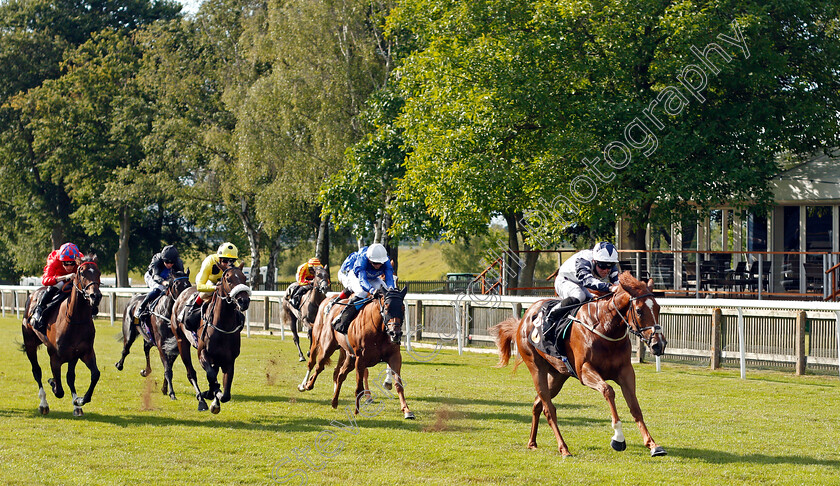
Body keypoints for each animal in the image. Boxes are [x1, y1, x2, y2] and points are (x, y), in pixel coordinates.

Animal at [21, 254, 102, 418]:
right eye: (81, 273)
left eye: (99, 272)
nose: (95, 296)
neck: (74, 320)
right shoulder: (55, 357)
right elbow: (58, 389)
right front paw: (52, 382)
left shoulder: (83, 353)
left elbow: (92, 375)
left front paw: (79, 401)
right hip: (30, 343)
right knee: (36, 371)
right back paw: (43, 404)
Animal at [115, 270, 191, 398]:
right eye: (177, 285)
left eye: (189, 285)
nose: (183, 302)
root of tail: (133, 299)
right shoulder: (161, 345)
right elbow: (167, 368)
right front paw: (171, 393)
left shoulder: (175, 347)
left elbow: (169, 366)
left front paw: (165, 389)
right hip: (129, 332)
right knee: (126, 349)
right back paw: (119, 365)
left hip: (149, 337)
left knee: (146, 349)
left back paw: (146, 371)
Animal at [170, 264, 249, 412]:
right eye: (228, 279)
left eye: (244, 278)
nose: (244, 301)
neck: (223, 325)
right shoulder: (202, 353)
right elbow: (211, 376)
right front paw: (212, 396)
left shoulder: (229, 360)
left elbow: (226, 393)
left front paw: (213, 395)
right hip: (181, 341)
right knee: (191, 373)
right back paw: (201, 400)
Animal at [296, 286, 416, 420]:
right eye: (386, 307)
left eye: (402, 308)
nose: (395, 333)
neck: (378, 329)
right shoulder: (361, 358)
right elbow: (359, 386)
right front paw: (357, 411)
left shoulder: (394, 356)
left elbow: (398, 384)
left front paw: (407, 410)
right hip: (326, 345)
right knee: (318, 365)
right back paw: (306, 385)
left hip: (350, 357)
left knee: (340, 374)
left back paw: (334, 401)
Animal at [488, 272, 668, 458]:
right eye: (639, 310)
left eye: (658, 308)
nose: (658, 344)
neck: (604, 327)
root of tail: (524, 319)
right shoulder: (584, 371)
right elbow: (608, 391)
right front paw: (618, 438)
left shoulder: (625, 371)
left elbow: (635, 407)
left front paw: (653, 445)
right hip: (536, 367)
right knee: (549, 409)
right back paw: (563, 448)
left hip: (558, 376)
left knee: (538, 403)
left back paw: (532, 442)